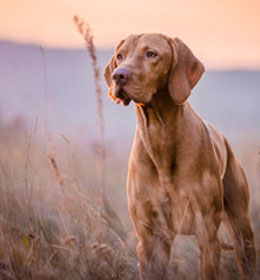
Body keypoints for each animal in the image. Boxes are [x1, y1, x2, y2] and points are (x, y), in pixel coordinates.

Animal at [103, 34, 256, 278]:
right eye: (120, 56)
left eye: (151, 54)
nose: (118, 75)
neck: (160, 135)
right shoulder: (150, 239)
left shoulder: (207, 234)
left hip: (242, 228)